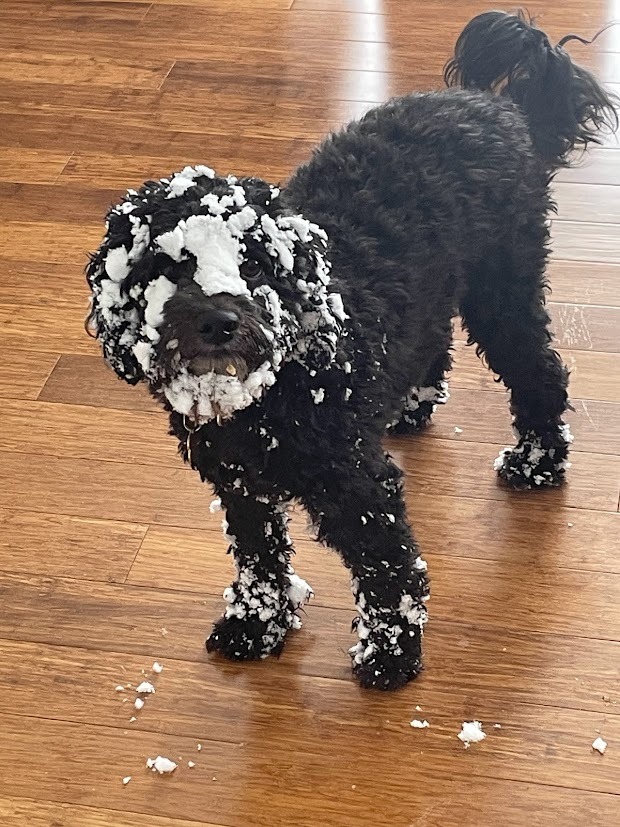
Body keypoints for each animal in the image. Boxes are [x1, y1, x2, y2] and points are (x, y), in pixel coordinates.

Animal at [85, 11, 617, 690]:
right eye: (166, 265)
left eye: (255, 262)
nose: (220, 322)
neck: (273, 395)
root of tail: (500, 107)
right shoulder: (240, 482)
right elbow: (259, 558)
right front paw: (257, 625)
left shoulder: (358, 486)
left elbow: (389, 568)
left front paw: (390, 654)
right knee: (434, 340)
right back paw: (411, 406)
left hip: (504, 292)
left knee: (542, 373)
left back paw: (538, 462)